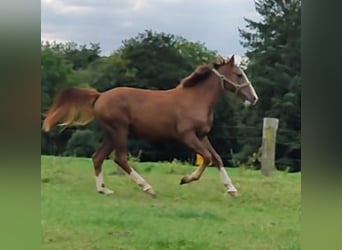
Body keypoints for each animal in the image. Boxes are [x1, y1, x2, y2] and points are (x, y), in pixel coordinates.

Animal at [42, 55, 256, 197]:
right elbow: (208, 157)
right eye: (238, 74)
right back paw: (147, 187)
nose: (254, 98)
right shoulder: (187, 135)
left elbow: (217, 158)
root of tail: (100, 96)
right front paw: (185, 179)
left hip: (111, 134)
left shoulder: (202, 135)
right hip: (119, 131)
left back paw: (104, 189)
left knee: (97, 157)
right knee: (120, 158)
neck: (196, 99)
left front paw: (232, 189)